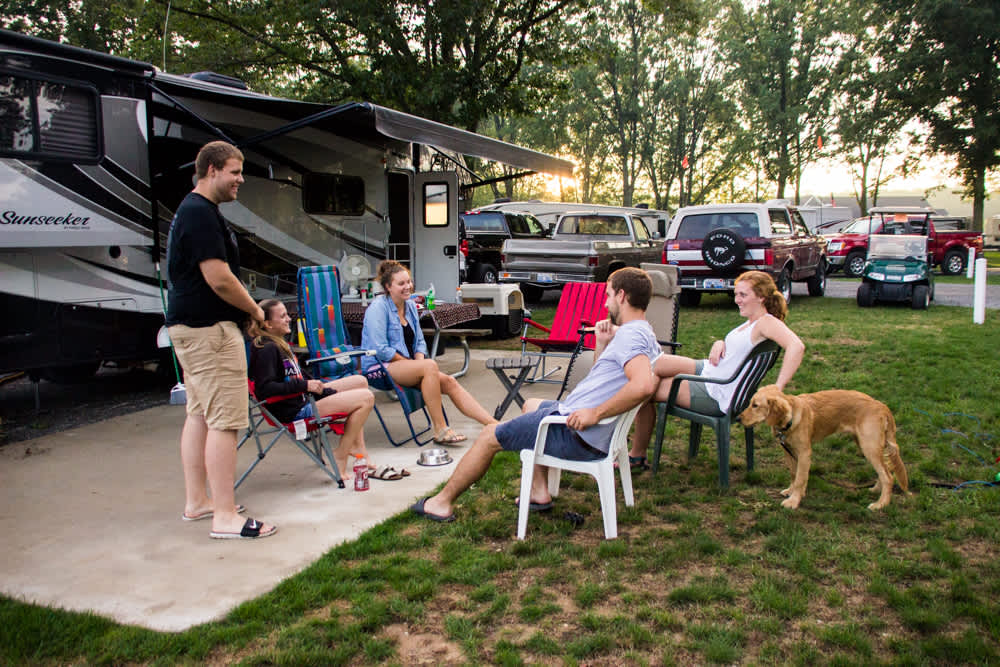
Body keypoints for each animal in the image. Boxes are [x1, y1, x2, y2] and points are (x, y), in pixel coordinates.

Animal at [740, 384, 912, 508]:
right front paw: (792, 492)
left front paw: (794, 501)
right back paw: (876, 490)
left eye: (755, 405)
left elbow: (801, 478)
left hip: (869, 446)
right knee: (885, 471)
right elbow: (794, 474)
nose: (738, 418)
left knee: (888, 476)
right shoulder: (788, 451)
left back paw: (881, 504)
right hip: (867, 445)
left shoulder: (804, 453)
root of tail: (882, 406)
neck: (790, 419)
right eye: (750, 404)